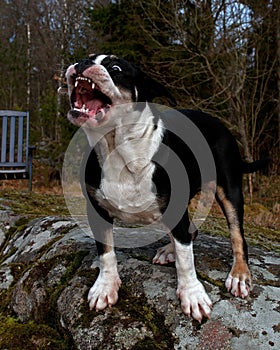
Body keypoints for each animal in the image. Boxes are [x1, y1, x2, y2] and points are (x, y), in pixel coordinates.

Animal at [62, 53, 268, 322]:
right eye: (86, 58)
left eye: (116, 68)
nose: (82, 64)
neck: (118, 147)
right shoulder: (96, 209)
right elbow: (106, 252)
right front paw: (105, 287)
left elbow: (186, 259)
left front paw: (192, 294)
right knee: (189, 232)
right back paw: (169, 249)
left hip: (229, 189)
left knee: (235, 235)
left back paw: (239, 275)